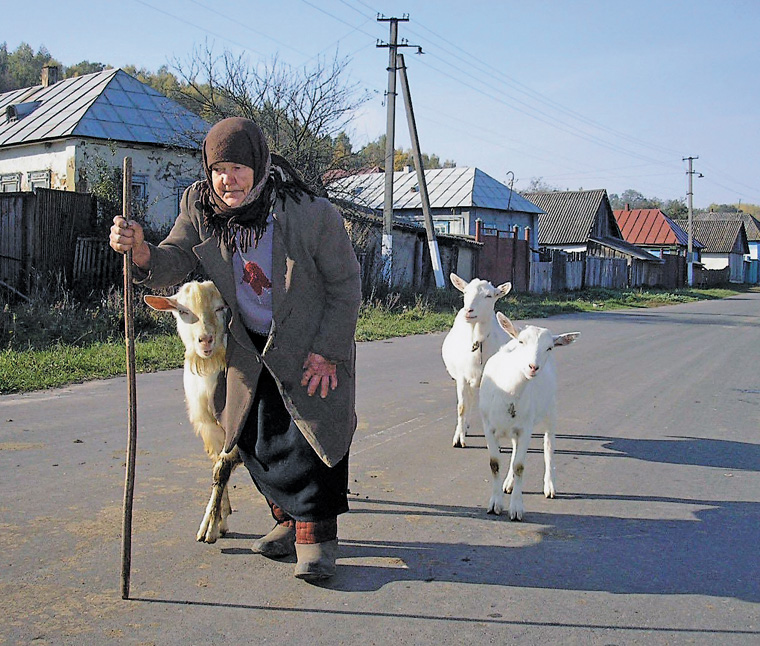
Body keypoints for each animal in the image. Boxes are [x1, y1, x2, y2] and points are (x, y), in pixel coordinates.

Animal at [141, 280, 239, 544]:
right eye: (183, 311)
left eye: (220, 308)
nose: (205, 340)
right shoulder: (210, 428)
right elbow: (217, 466)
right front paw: (222, 519)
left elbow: (222, 469)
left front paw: (209, 528)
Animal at [442, 270, 512, 448]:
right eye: (465, 292)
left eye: (489, 295)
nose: (469, 311)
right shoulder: (461, 377)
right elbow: (462, 407)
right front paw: (458, 439)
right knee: (469, 401)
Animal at [478, 314, 580, 520]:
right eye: (521, 341)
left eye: (550, 347)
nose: (533, 367)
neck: (509, 391)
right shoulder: (488, 426)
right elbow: (495, 464)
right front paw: (495, 504)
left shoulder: (526, 428)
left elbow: (519, 466)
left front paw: (516, 508)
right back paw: (508, 484)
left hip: (551, 410)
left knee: (548, 446)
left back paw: (549, 486)